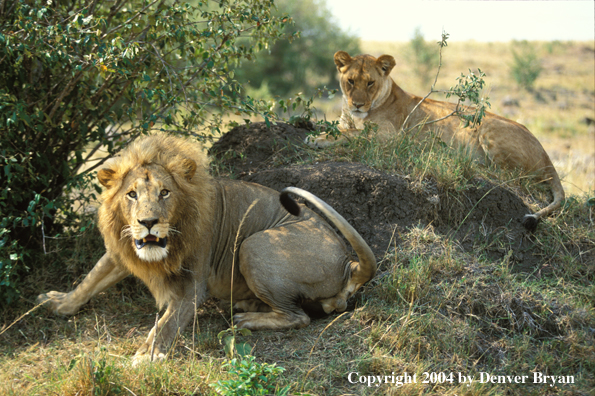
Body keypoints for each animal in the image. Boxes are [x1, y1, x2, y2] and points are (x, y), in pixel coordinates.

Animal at [37, 135, 378, 364]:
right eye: (131, 194)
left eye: (165, 192)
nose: (148, 223)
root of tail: (350, 264)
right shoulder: (124, 249)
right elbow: (91, 279)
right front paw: (58, 302)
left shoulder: (192, 286)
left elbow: (165, 324)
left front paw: (147, 355)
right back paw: (246, 305)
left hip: (252, 246)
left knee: (298, 317)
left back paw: (247, 319)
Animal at [310, 50, 564, 229]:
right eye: (351, 81)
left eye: (370, 83)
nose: (358, 104)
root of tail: (547, 156)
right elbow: (344, 130)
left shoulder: (391, 137)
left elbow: (353, 135)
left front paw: (317, 139)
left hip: (489, 129)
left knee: (511, 176)